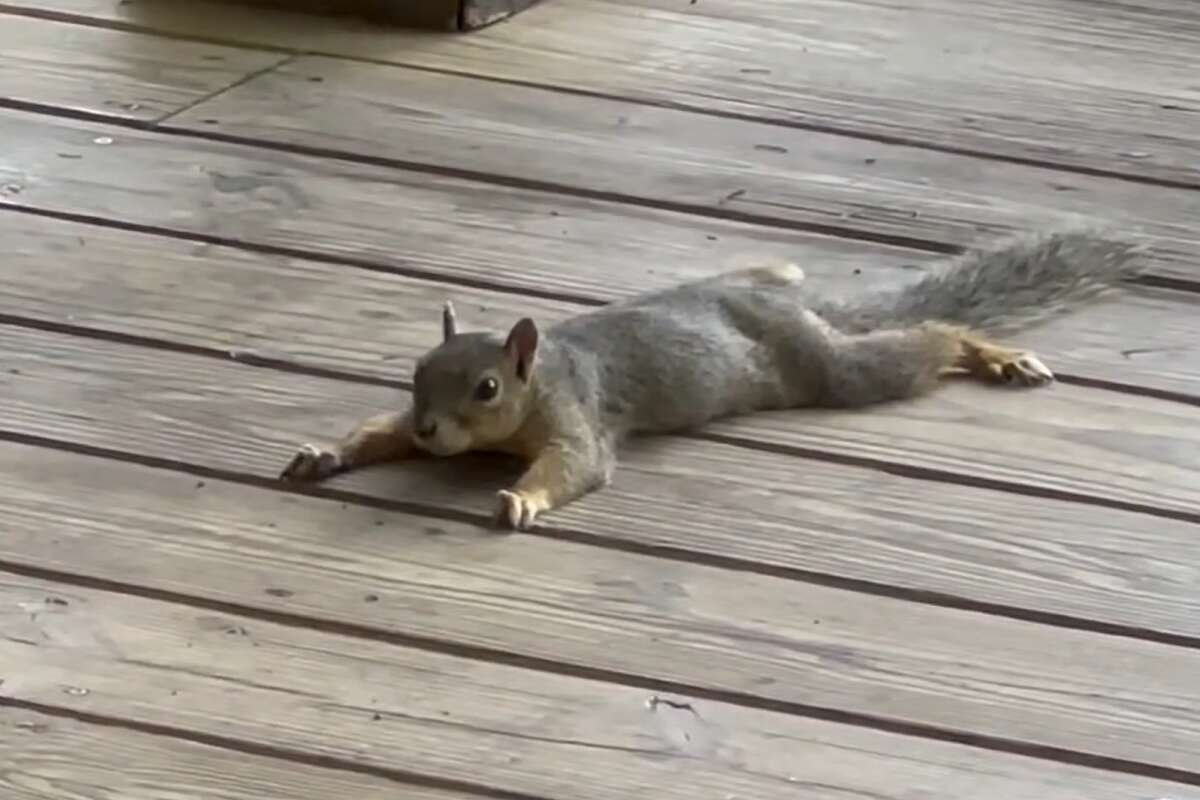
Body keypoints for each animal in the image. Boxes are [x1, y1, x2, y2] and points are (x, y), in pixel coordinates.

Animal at [278, 227, 1142, 527]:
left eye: (488, 388)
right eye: (417, 374)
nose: (431, 428)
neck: (541, 375)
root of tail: (793, 308)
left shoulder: (577, 416)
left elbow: (575, 466)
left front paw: (522, 497)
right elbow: (375, 433)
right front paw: (327, 451)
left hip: (830, 368)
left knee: (923, 341)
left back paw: (989, 351)